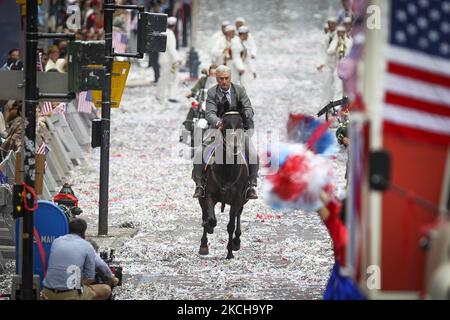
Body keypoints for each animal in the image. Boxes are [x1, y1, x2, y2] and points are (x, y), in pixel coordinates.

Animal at [200, 111, 251, 258]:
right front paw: (209, 227)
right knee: (204, 213)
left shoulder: (238, 199)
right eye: (224, 124)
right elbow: (211, 218)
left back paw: (236, 242)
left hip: (244, 200)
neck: (227, 170)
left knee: (238, 215)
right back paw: (203, 244)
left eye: (241, 124)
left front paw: (230, 252)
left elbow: (231, 225)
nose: (233, 145)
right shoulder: (209, 194)